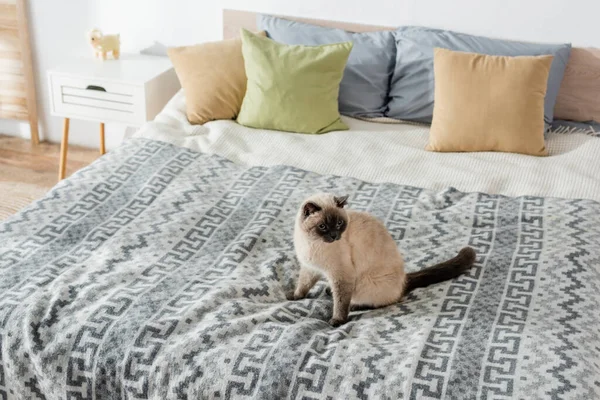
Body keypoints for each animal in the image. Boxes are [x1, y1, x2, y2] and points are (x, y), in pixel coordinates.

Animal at [292, 192, 476, 326]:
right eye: (322, 226)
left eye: (338, 224)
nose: (334, 236)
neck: (312, 243)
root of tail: (404, 281)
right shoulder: (310, 268)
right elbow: (303, 285)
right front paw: (294, 296)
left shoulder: (341, 275)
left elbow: (341, 303)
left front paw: (336, 321)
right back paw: (329, 291)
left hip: (366, 283)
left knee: (381, 301)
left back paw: (354, 304)